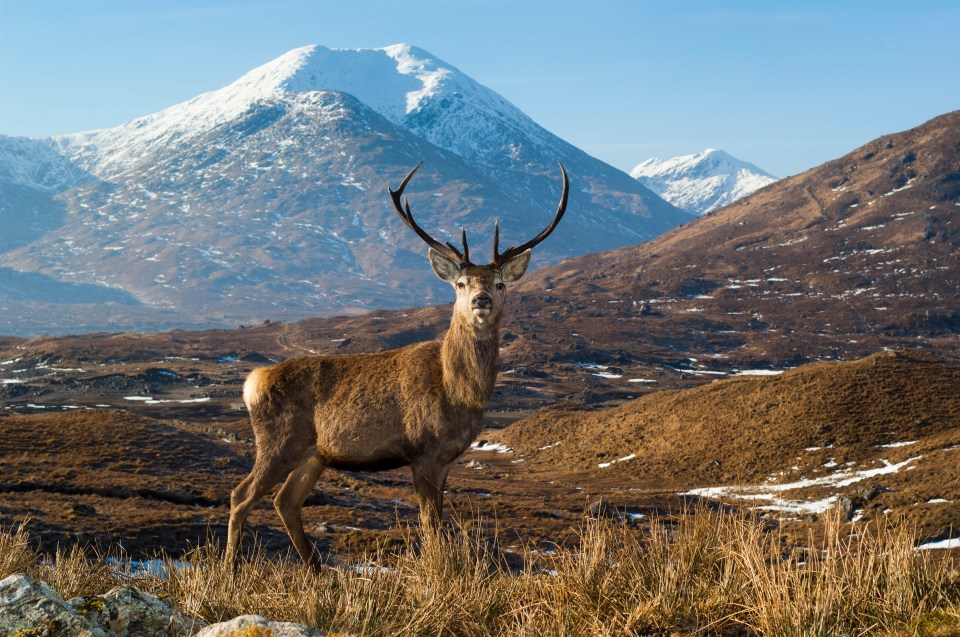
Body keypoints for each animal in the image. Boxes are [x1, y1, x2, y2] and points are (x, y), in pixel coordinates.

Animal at [226, 159, 568, 568]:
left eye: (500, 283)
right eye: (461, 284)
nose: (481, 299)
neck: (458, 392)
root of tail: (253, 382)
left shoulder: (446, 458)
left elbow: (437, 520)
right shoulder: (423, 451)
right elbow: (430, 524)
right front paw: (438, 570)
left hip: (315, 454)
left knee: (285, 501)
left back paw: (316, 570)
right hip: (278, 441)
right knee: (240, 495)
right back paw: (230, 569)